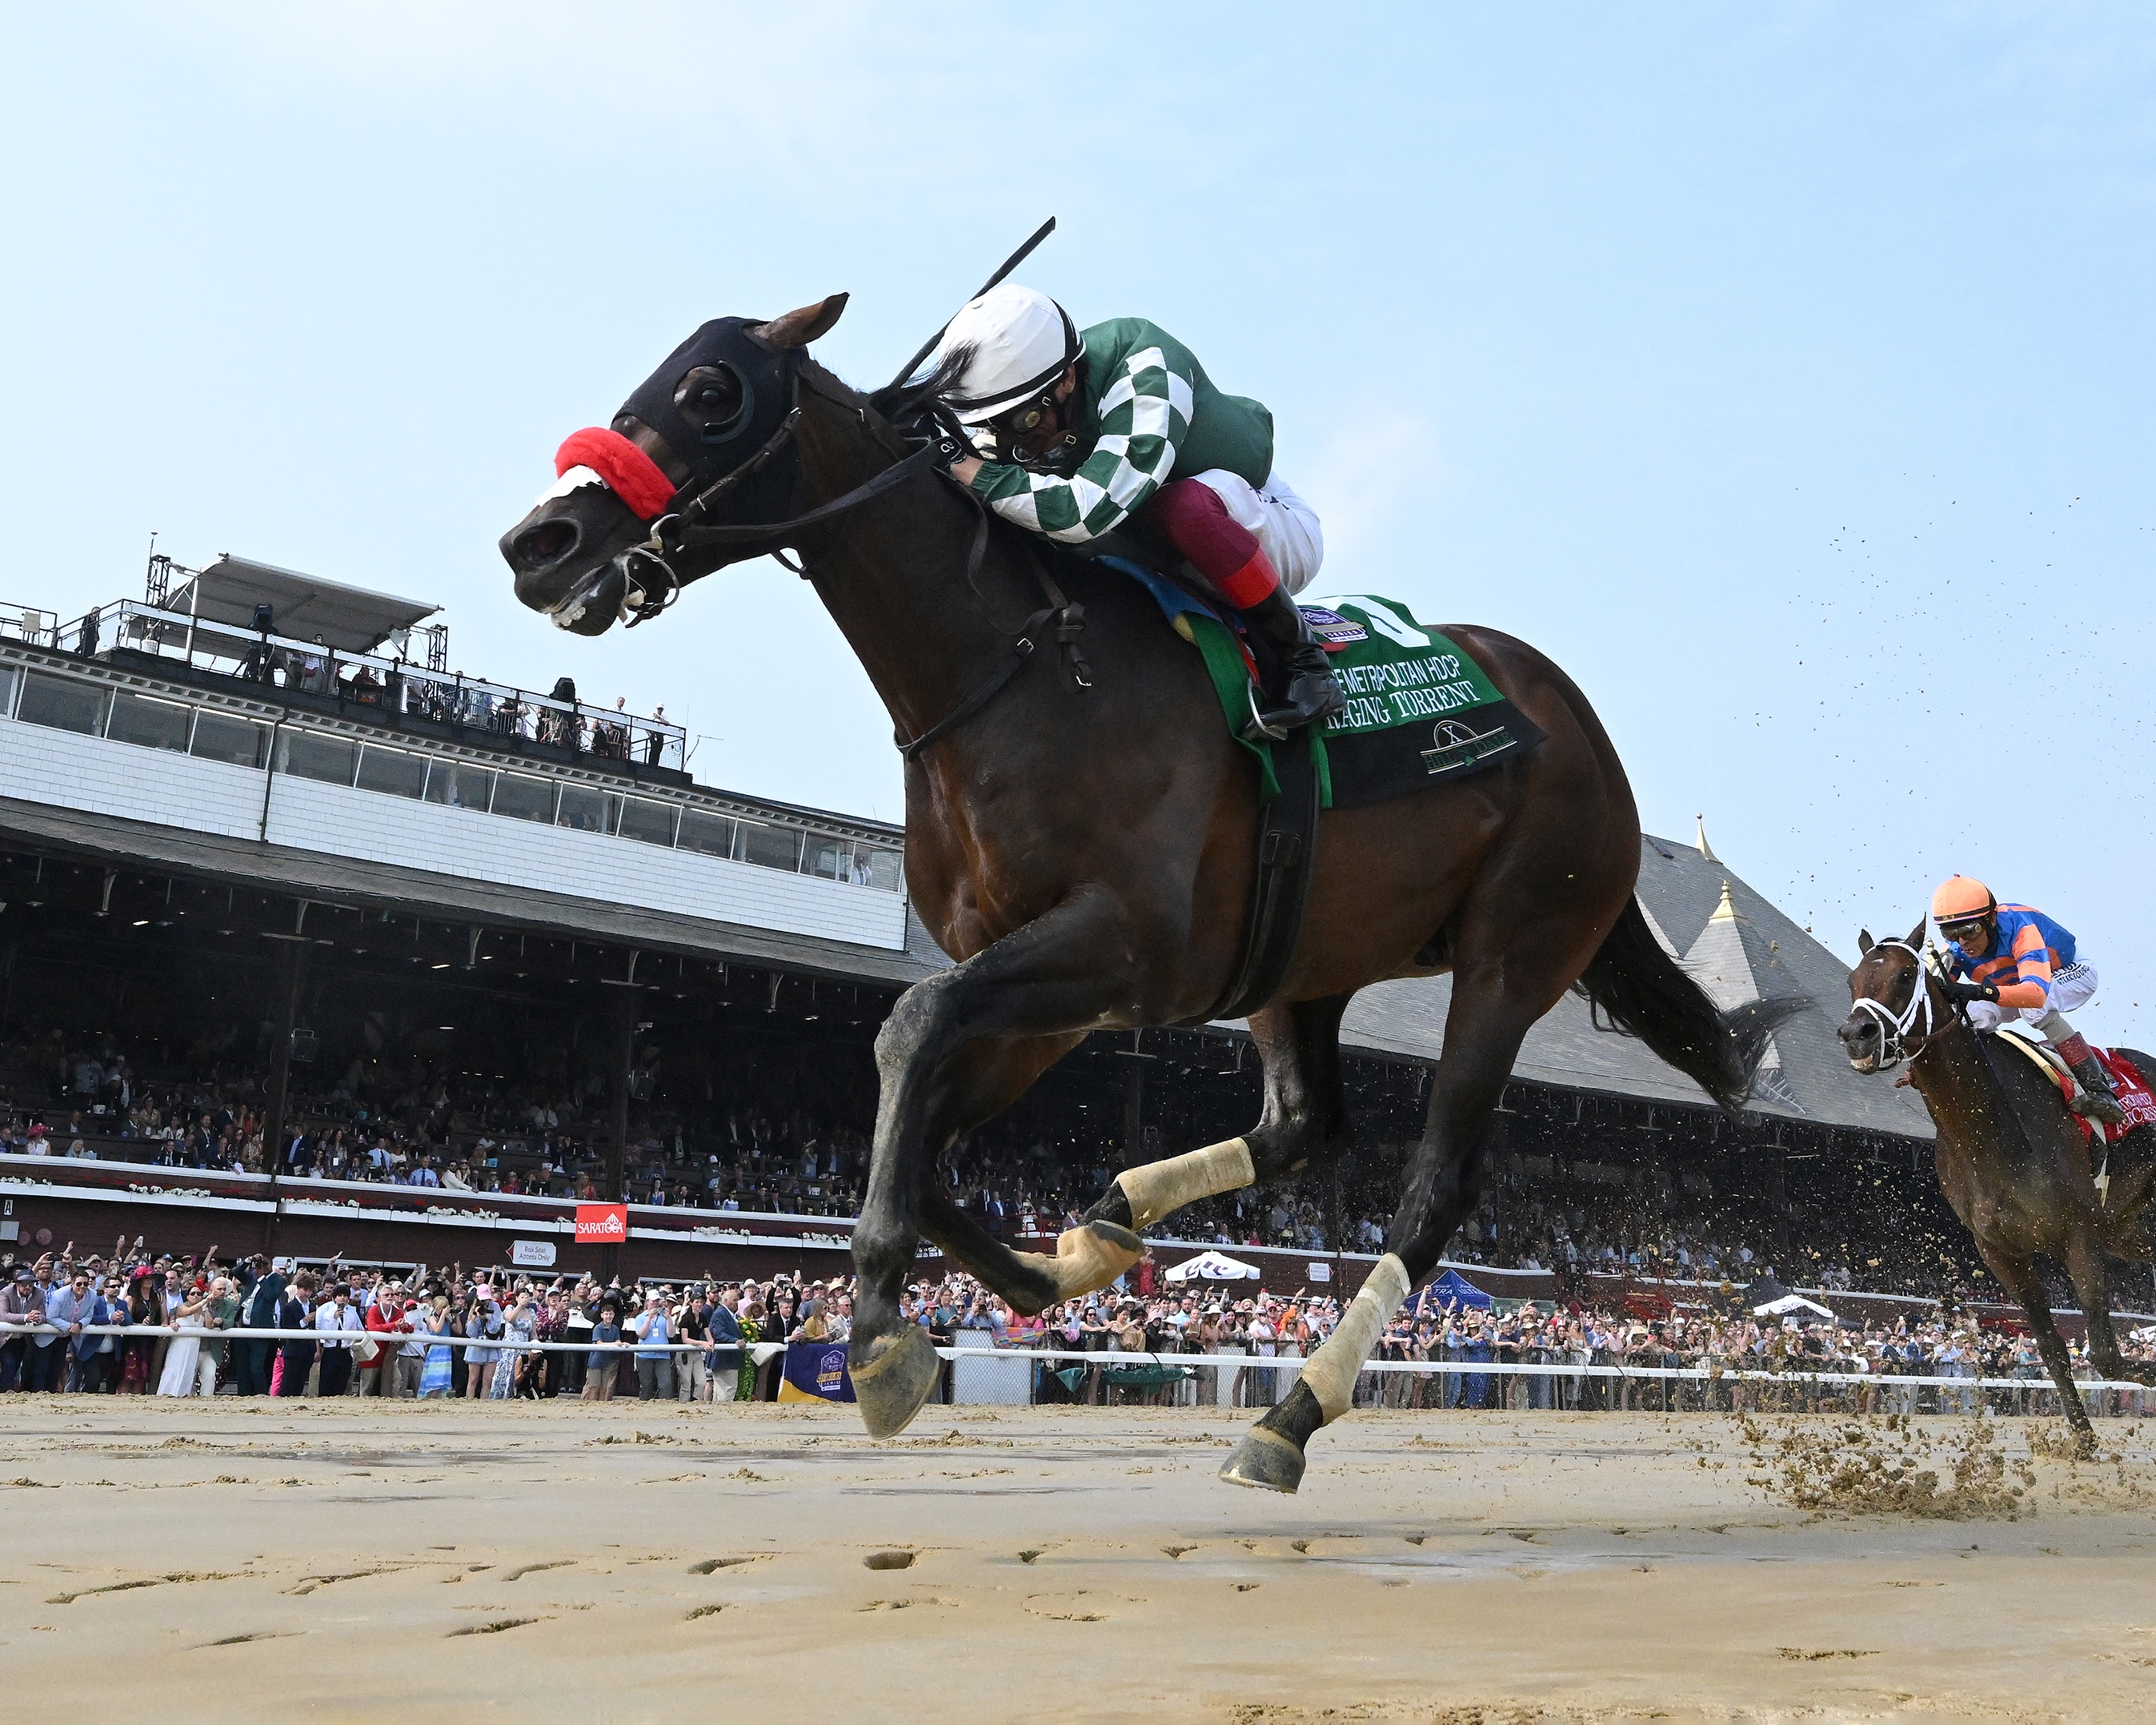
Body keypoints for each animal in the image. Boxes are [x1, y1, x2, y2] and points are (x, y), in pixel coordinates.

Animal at [499, 295, 1793, 1491]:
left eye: (711, 390)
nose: (539, 540)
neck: (1018, 669)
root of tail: (1579, 727)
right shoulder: (1050, 976)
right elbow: (925, 1116)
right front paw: (1048, 1265)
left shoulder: (1117, 945)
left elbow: (906, 1029)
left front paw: (873, 1336)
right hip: (1301, 964)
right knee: (1302, 1126)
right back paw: (1115, 1218)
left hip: (1514, 950)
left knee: (1432, 1190)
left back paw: (1288, 1416)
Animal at [1837, 921, 2156, 1445]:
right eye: (1853, 980)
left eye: (1906, 975)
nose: (1857, 1035)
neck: (1987, 1130)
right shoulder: (2001, 1252)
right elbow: (2054, 1350)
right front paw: (2084, 1443)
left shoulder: (2079, 1236)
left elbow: (2106, 1354)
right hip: (2128, 1231)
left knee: (2043, 1005)